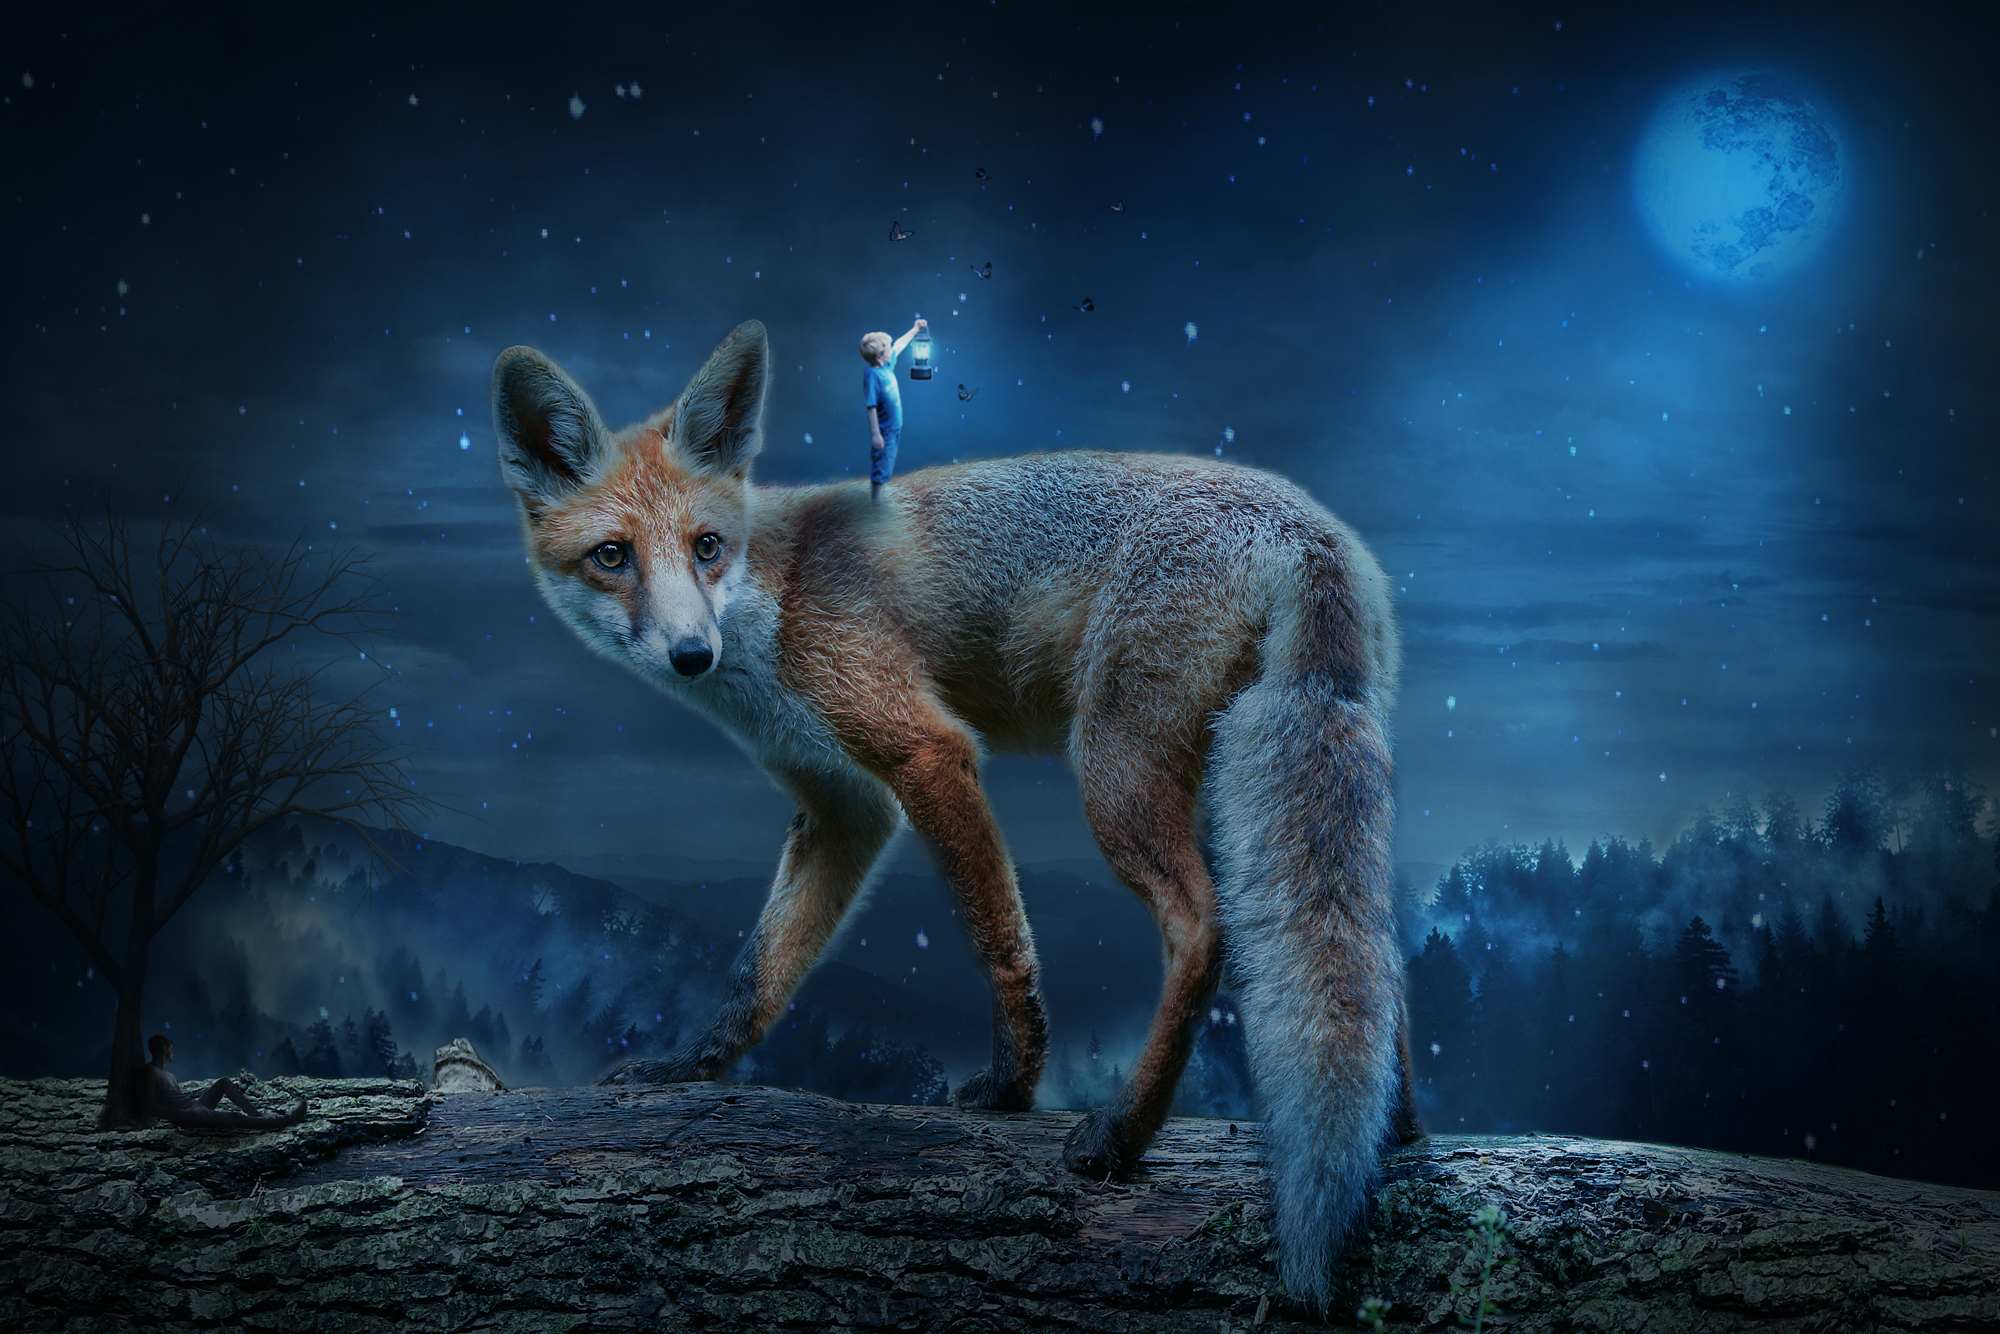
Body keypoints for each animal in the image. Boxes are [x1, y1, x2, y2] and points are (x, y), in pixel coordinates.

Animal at [491, 320, 1420, 1311]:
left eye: (706, 546)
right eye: (613, 556)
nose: (691, 653)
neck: (768, 605)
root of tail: (1308, 529)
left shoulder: (926, 750)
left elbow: (997, 941)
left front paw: (1014, 1086)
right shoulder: (843, 805)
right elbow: (760, 973)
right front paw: (689, 1071)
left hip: (1114, 770)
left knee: (1204, 929)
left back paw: (1124, 1135)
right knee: (1371, 957)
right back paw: (1396, 1137)